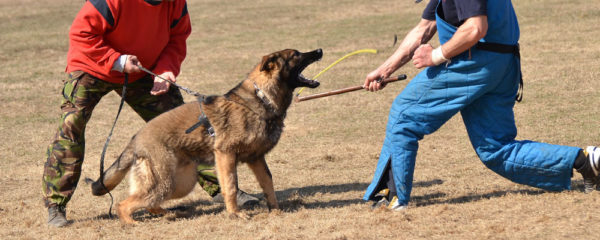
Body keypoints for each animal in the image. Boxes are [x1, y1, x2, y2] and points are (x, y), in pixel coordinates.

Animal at [87, 48, 322, 223]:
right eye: (296, 55)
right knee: (124, 204)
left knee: (148, 201)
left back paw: (165, 213)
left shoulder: (257, 159)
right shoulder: (226, 155)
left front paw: (275, 210)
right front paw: (235, 214)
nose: (319, 50)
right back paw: (131, 223)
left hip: (181, 183)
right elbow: (230, 186)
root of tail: (135, 139)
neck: (261, 97)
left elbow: (268, 184)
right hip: (166, 182)